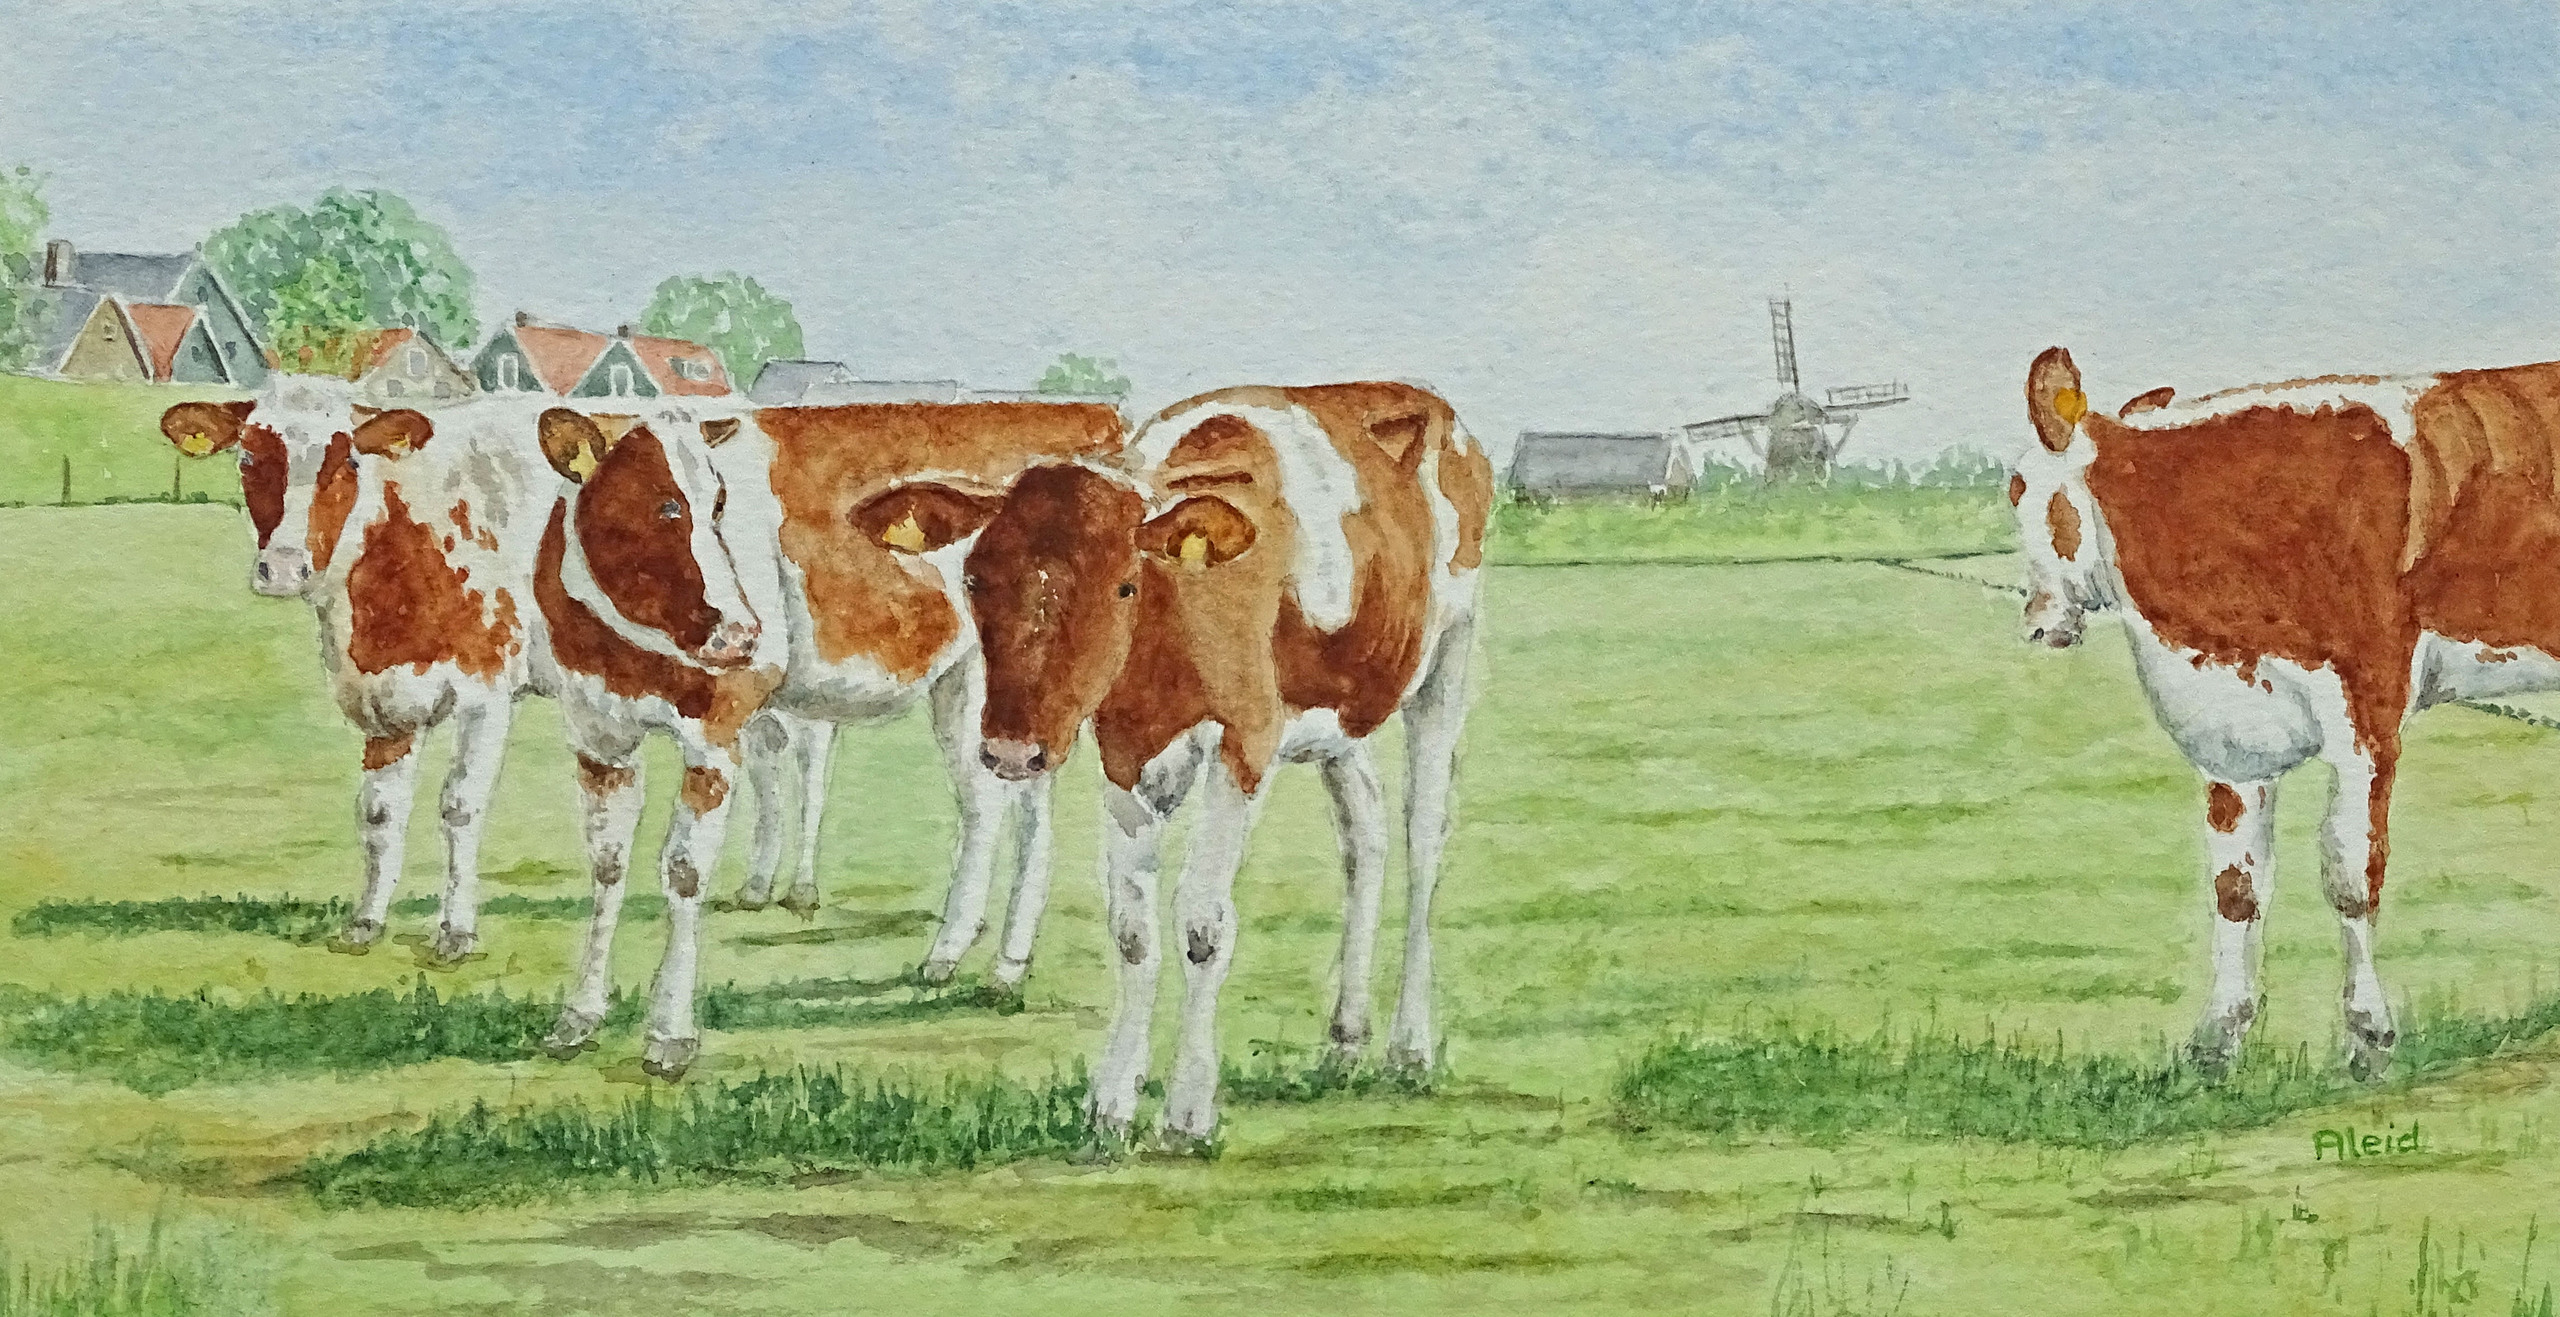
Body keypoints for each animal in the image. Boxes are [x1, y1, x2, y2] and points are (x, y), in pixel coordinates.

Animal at [160, 378, 560, 963]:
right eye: (249, 456)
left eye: (348, 459)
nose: (284, 568)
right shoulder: (384, 702)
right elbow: (379, 813)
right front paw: (366, 922)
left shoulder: (488, 691)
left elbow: (461, 807)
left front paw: (457, 932)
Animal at [531, 400, 1126, 1076]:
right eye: (664, 506)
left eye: (719, 502)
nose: (743, 632)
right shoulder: (597, 734)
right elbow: (607, 866)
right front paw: (578, 1017)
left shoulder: (716, 732)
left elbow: (684, 870)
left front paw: (670, 1034)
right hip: (978, 695)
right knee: (994, 803)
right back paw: (960, 954)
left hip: (999, 687)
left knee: (1013, 811)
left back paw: (999, 964)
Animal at [865, 382, 1495, 1145]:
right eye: (977, 579)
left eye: (1123, 586)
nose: (1013, 750)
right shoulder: (1123, 751)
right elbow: (1132, 931)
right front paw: (1111, 1103)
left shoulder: (1246, 740)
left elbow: (1202, 922)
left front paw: (1189, 1109)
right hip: (1343, 715)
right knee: (1364, 833)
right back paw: (1345, 1039)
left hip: (1449, 659)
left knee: (1423, 840)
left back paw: (1409, 1046)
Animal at [2011, 347, 2560, 1080]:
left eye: (2020, 488)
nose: (2040, 624)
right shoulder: (2232, 739)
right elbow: (2235, 886)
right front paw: (2216, 1044)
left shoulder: (2366, 713)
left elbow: (2351, 873)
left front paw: (2369, 1038)